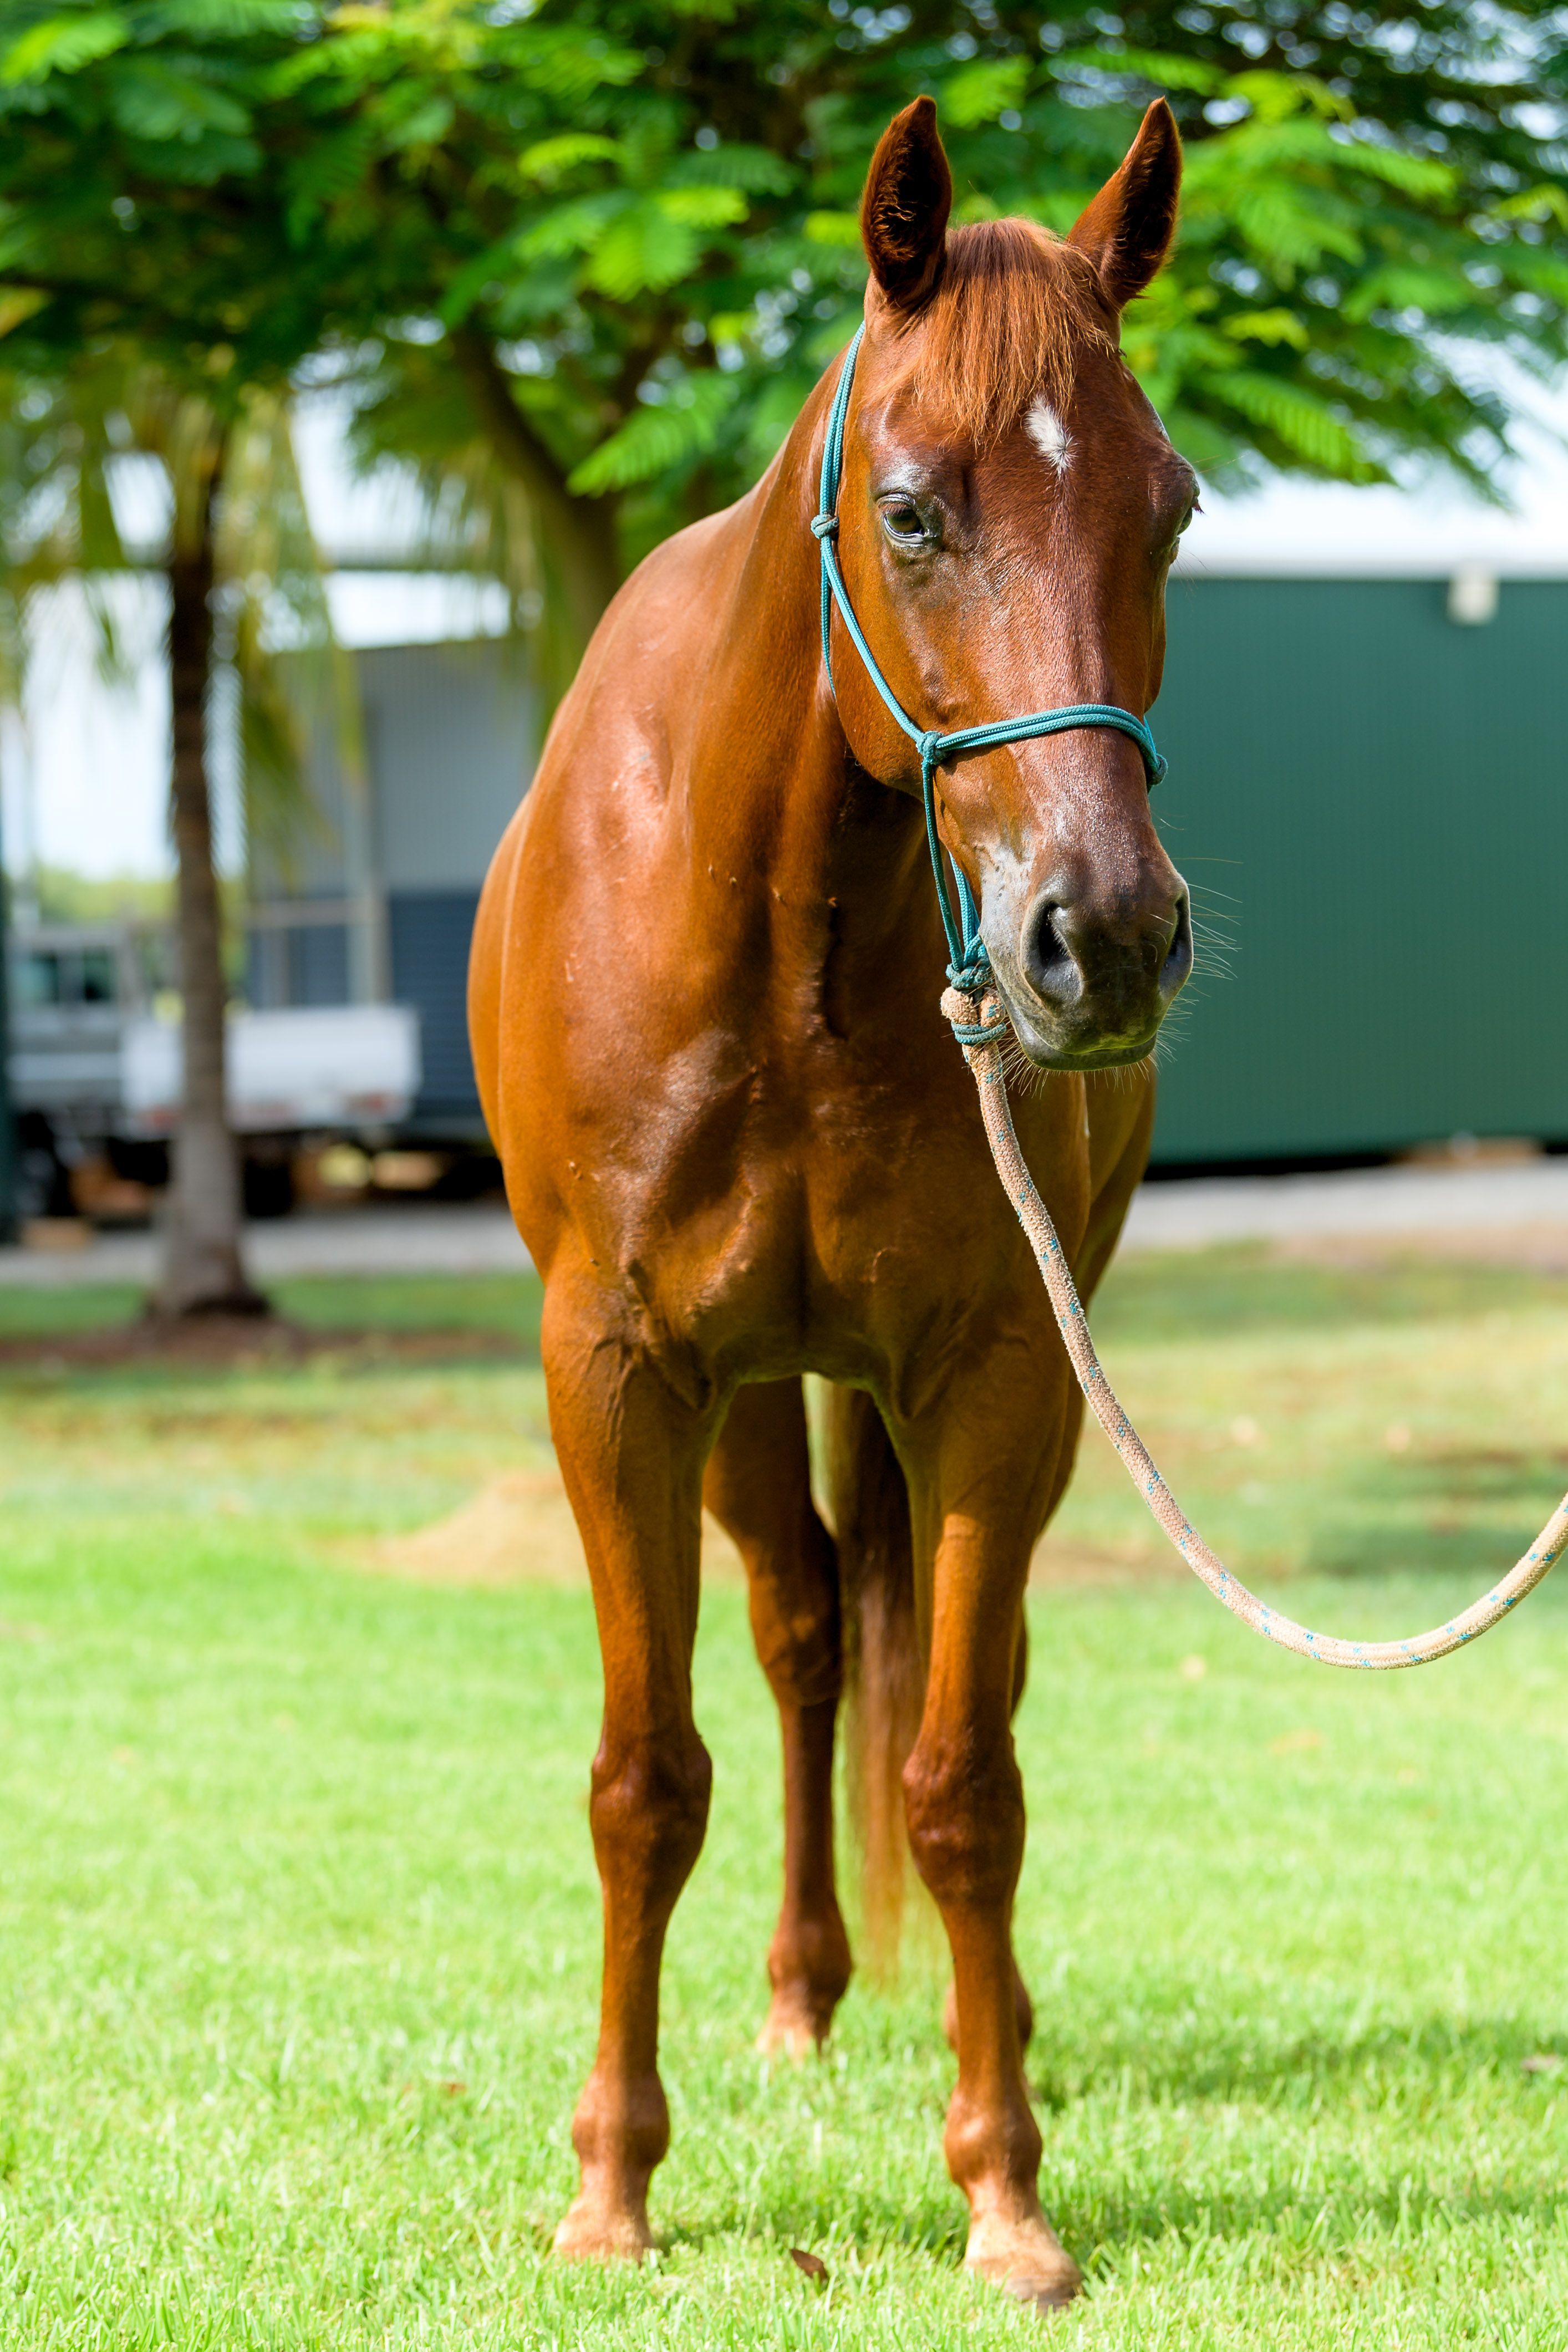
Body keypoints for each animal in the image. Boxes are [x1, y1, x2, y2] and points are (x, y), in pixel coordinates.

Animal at [470, 91, 1195, 2313]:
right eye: (912, 510)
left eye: (1174, 513)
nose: (1100, 940)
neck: (781, 920)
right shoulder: (620, 1370)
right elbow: (644, 1778)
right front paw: (613, 2180)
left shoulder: (993, 1370)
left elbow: (965, 1783)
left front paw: (1005, 2187)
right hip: (742, 1398)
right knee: (797, 1630)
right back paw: (796, 1991)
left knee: (931, 1663)